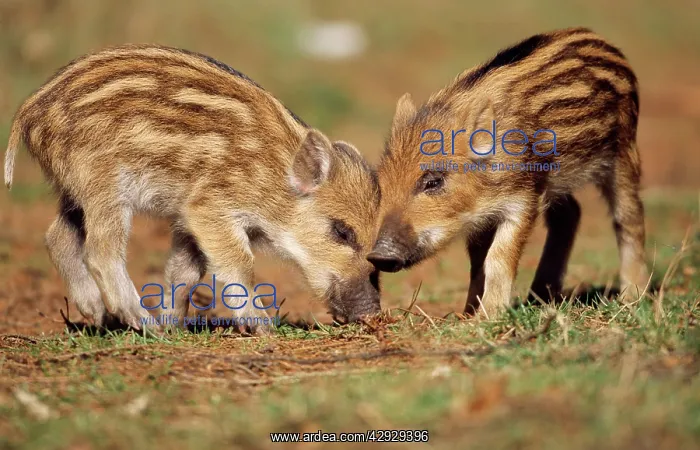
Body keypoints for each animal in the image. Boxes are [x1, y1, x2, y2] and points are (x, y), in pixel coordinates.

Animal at [3, 44, 381, 332]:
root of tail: (29, 110)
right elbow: (239, 263)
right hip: (103, 184)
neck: (273, 178)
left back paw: (101, 315)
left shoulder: (188, 219)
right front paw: (262, 328)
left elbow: (184, 271)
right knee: (100, 251)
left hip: (74, 190)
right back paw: (143, 324)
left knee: (57, 237)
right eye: (342, 232)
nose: (372, 313)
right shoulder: (209, 206)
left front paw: (175, 326)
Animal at [368, 27, 649, 318]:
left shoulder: (522, 199)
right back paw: (540, 298)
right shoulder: (482, 215)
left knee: (629, 216)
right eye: (382, 185)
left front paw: (488, 316)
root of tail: (602, 41)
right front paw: (467, 315)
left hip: (623, 152)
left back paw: (632, 298)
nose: (379, 256)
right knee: (570, 214)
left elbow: (498, 257)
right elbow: (477, 262)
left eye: (433, 181)